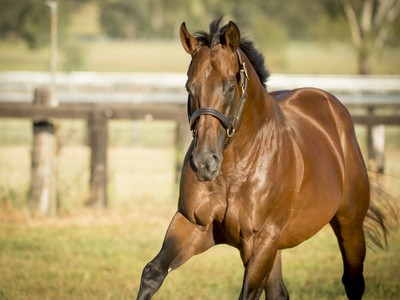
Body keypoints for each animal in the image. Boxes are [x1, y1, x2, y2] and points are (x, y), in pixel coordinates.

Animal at [138, 18, 384, 300]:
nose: (204, 163)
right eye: (190, 86)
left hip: (349, 226)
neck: (235, 171)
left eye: (230, 85)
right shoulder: (194, 225)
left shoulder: (260, 240)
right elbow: (152, 273)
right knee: (279, 291)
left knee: (353, 282)